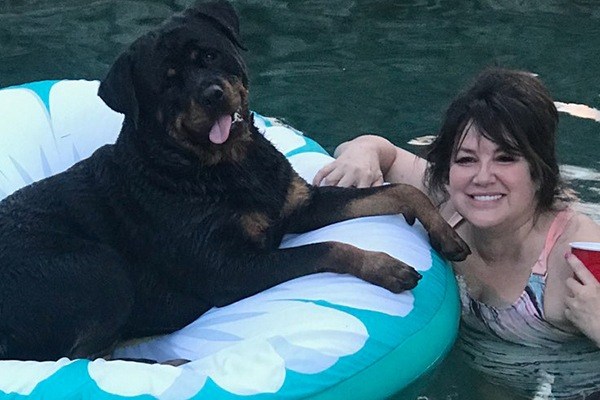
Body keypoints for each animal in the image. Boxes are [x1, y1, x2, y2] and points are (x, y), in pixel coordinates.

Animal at [0, 0, 468, 362]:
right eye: (168, 80)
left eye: (209, 56)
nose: (211, 94)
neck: (223, 168)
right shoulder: (229, 270)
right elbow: (327, 248)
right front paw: (384, 266)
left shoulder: (298, 204)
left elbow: (399, 190)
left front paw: (447, 237)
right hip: (99, 267)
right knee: (81, 356)